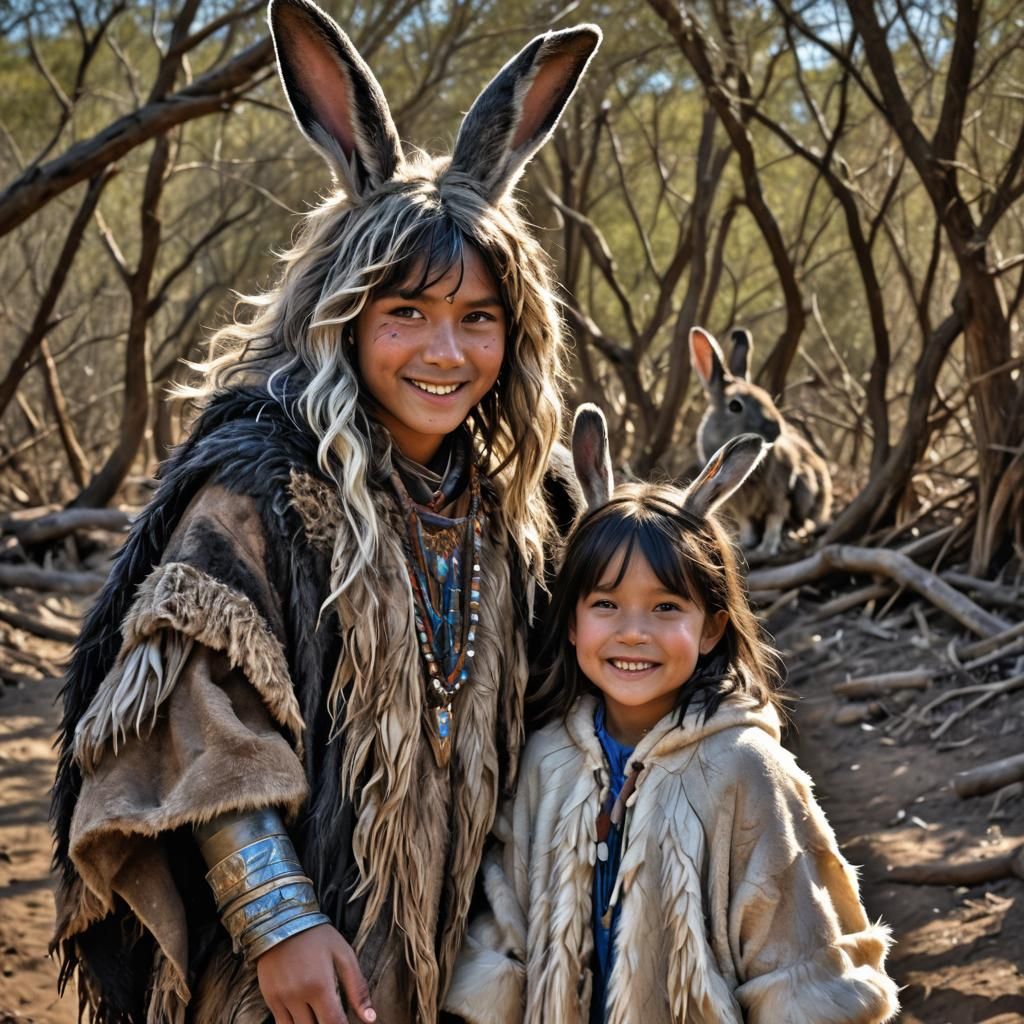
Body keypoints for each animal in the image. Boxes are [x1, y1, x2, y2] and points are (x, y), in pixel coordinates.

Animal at [689, 325, 832, 555]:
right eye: (735, 406)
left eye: (766, 397)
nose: (777, 429)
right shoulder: (740, 504)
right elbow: (748, 523)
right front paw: (746, 544)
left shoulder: (779, 492)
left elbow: (776, 519)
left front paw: (767, 548)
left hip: (804, 488)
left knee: (801, 522)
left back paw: (790, 536)